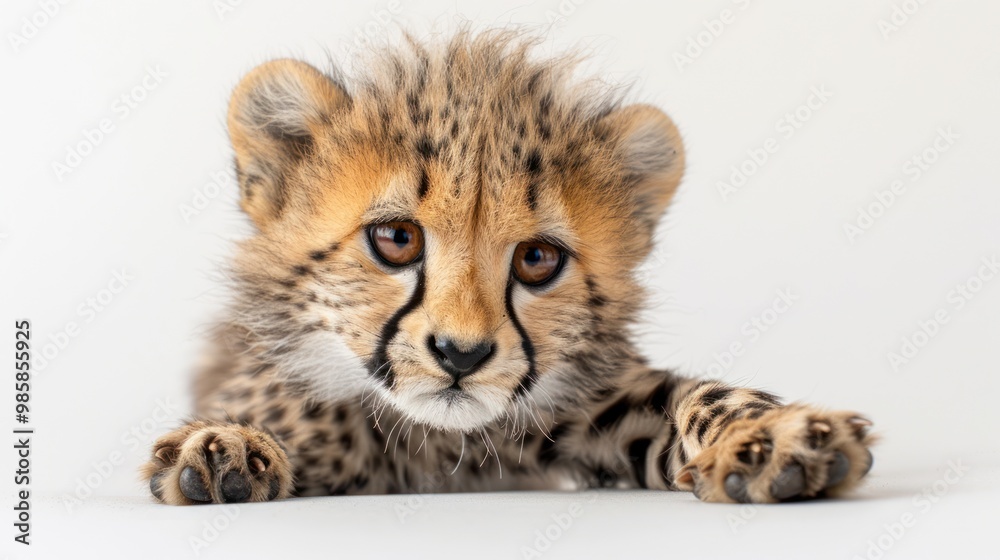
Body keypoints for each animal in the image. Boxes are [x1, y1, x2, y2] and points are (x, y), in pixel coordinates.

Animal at [142, 29, 875, 506]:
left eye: (537, 259)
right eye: (396, 239)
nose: (461, 355)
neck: (442, 444)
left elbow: (700, 395)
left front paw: (771, 437)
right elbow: (273, 407)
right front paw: (224, 447)